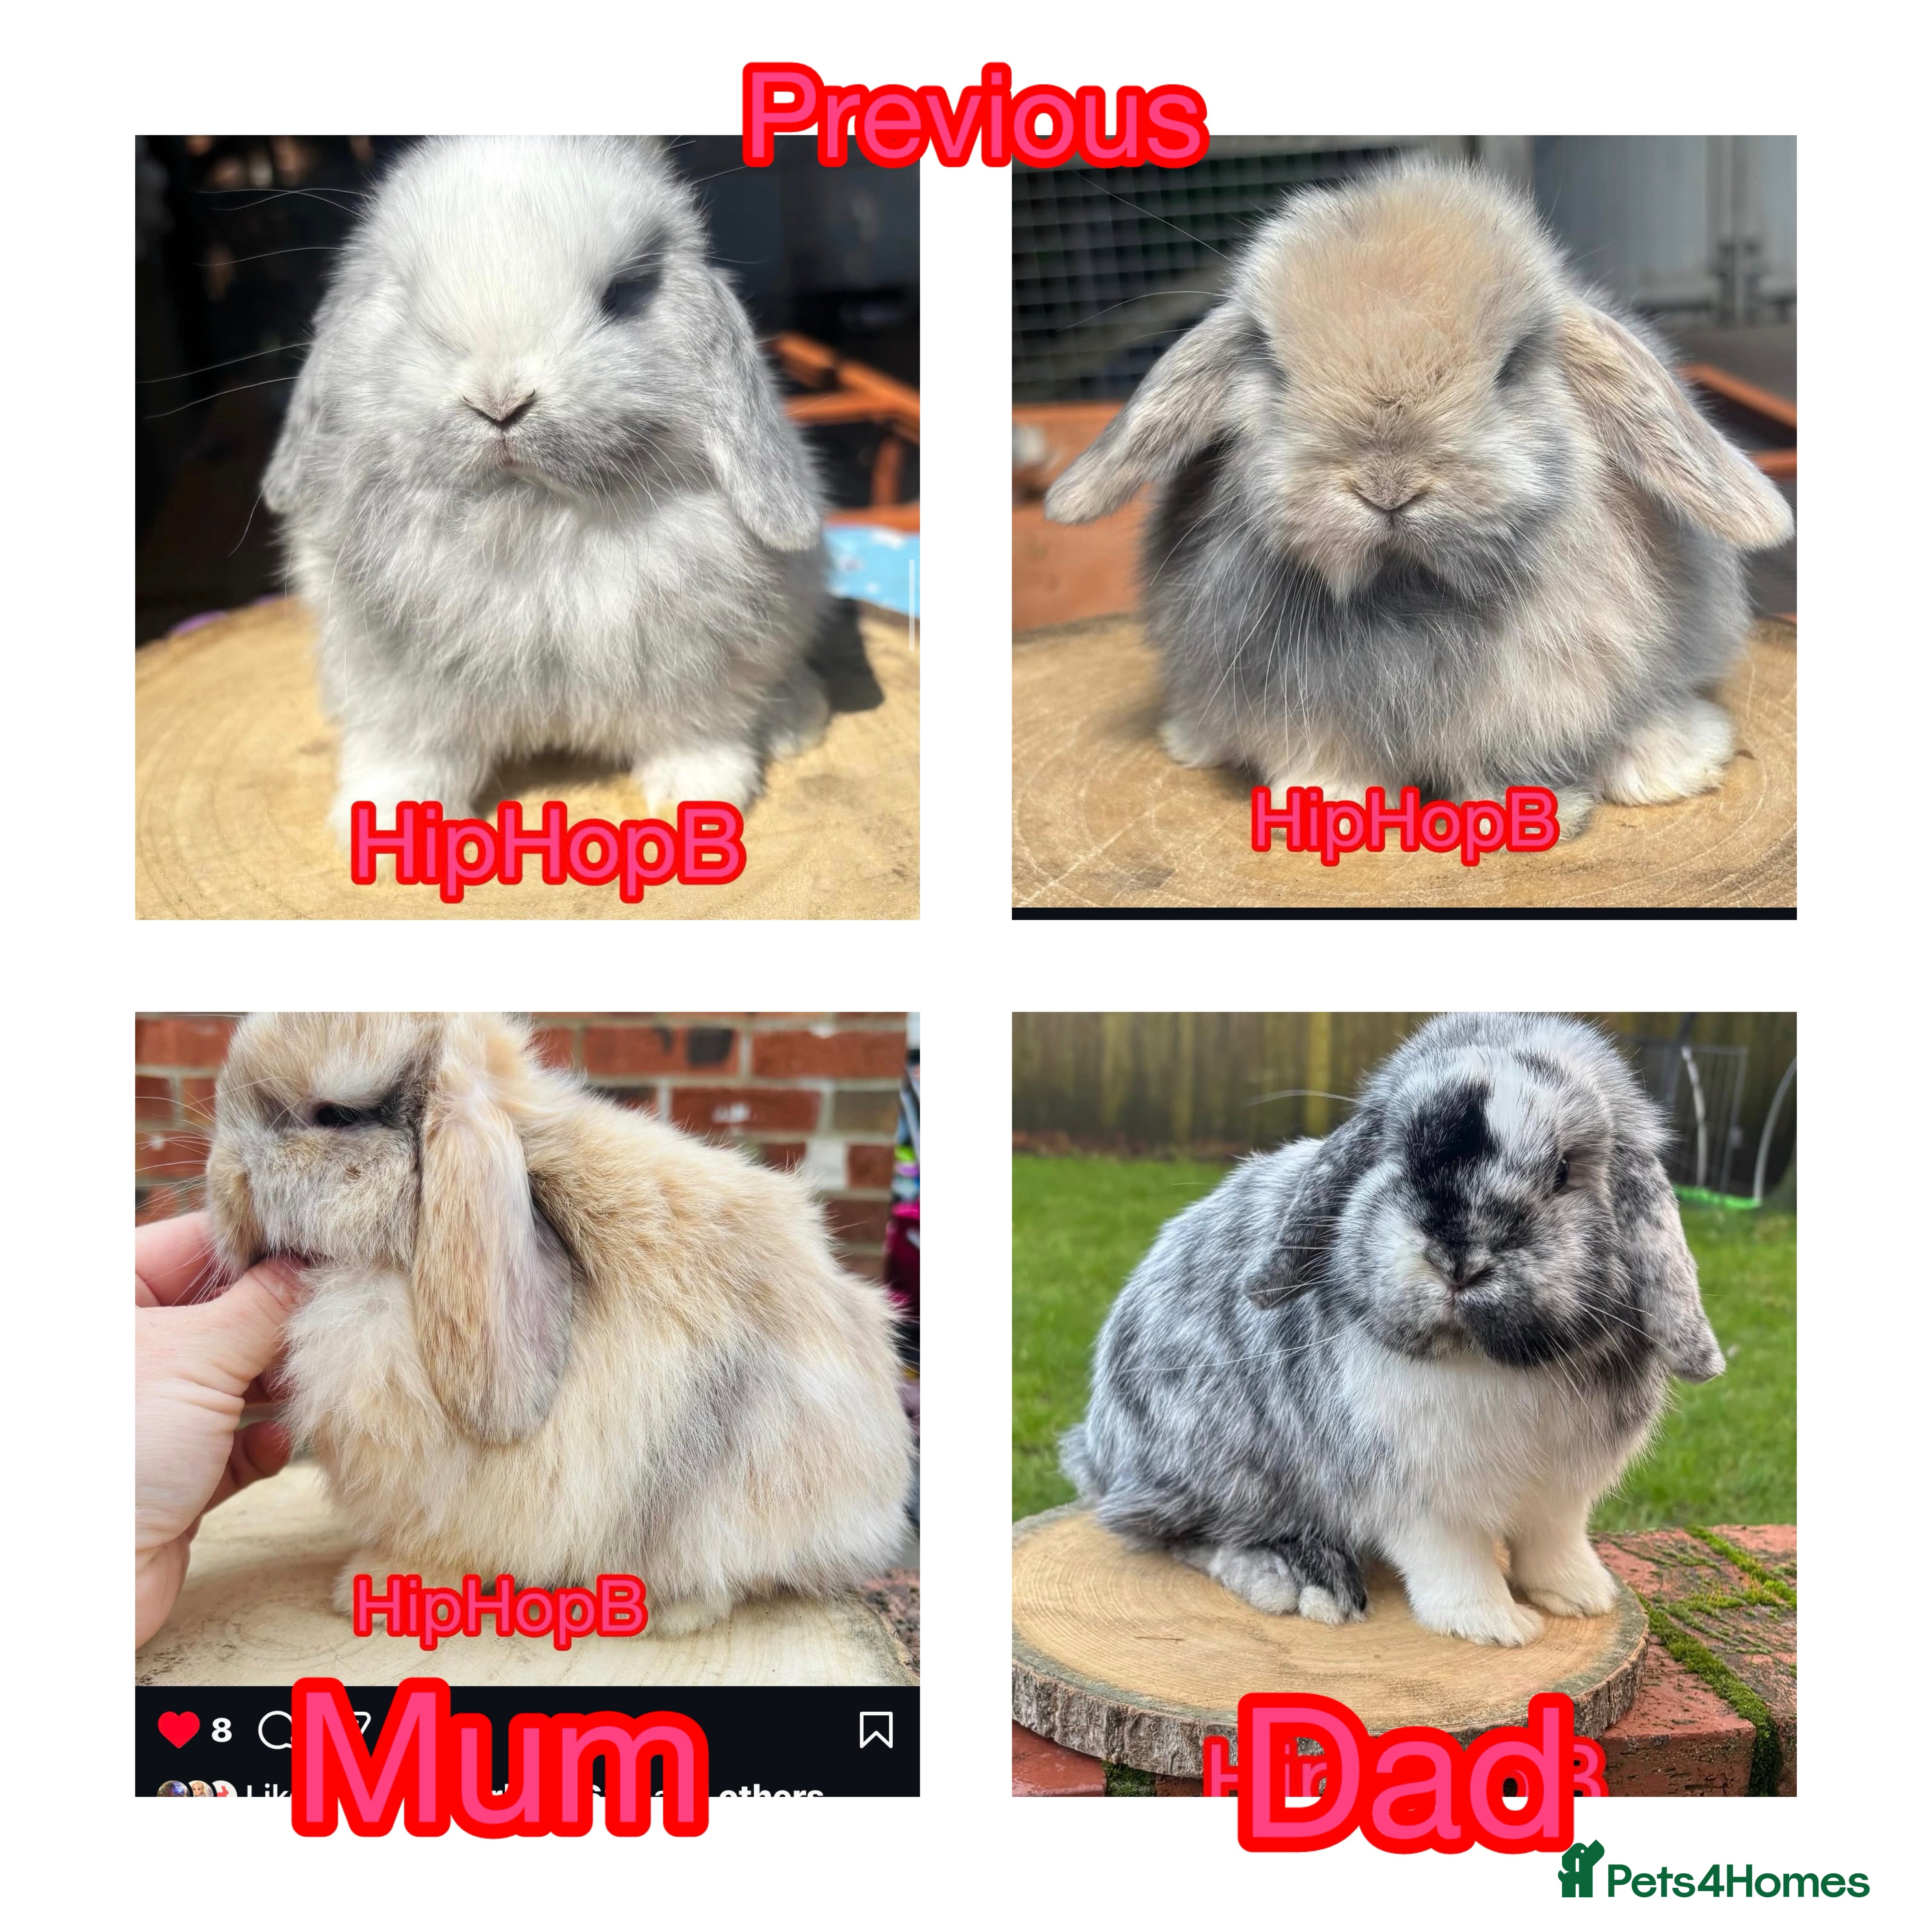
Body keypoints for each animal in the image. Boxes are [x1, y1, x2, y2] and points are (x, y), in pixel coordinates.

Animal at [262, 137, 831, 846]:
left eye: (621, 295)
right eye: (409, 303)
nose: (499, 401)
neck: (529, 519)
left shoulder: (700, 678)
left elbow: (699, 738)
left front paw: (698, 800)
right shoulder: (398, 698)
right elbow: (408, 759)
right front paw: (385, 824)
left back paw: (795, 723)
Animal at [1043, 161, 1793, 837]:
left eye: (1512, 366)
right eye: (1274, 367)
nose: (1387, 487)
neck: (1410, 587)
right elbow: (1322, 750)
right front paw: (1325, 803)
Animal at [1063, 1013, 1725, 1647]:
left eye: (1563, 1169)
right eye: (1399, 1153)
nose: (1459, 1259)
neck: (1479, 1361)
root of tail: (1095, 1449)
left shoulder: (1560, 1494)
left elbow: (1554, 1541)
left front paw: (1581, 1597)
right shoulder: (1416, 1500)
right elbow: (1456, 1562)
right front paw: (1495, 1626)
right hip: (1214, 1474)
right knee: (1168, 1531)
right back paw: (1299, 1578)